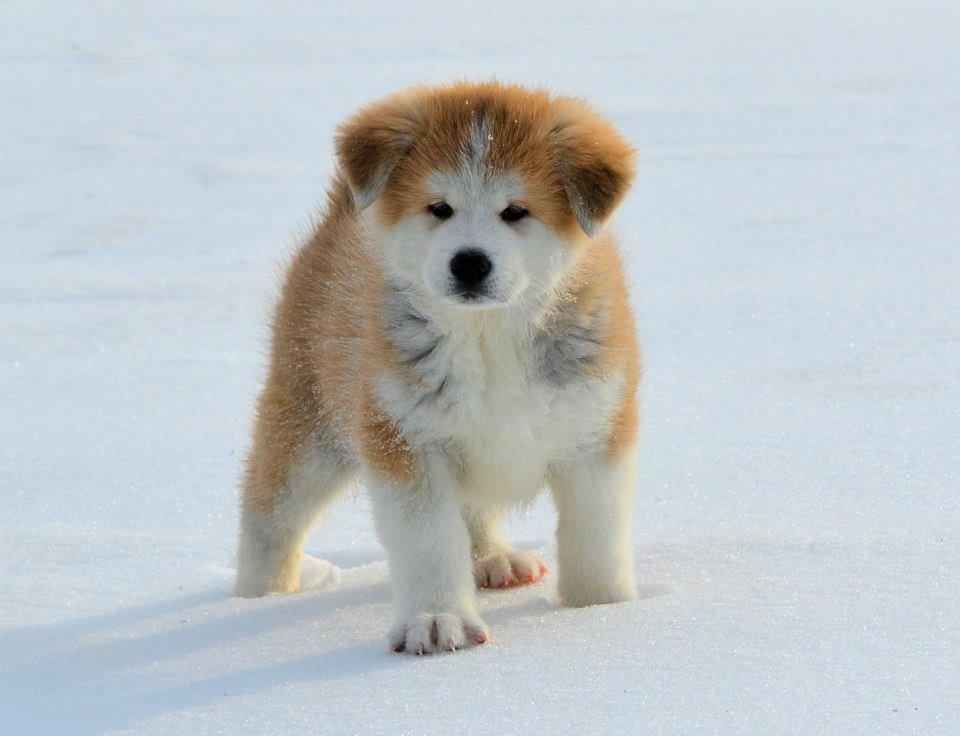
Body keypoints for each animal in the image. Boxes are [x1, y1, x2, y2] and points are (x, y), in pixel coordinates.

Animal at [233, 82, 640, 656]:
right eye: (439, 208)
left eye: (516, 211)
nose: (469, 262)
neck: (489, 337)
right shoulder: (405, 439)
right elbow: (429, 544)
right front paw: (436, 619)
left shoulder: (595, 428)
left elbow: (595, 539)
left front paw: (603, 613)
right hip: (308, 424)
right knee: (269, 518)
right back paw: (255, 602)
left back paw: (496, 560)